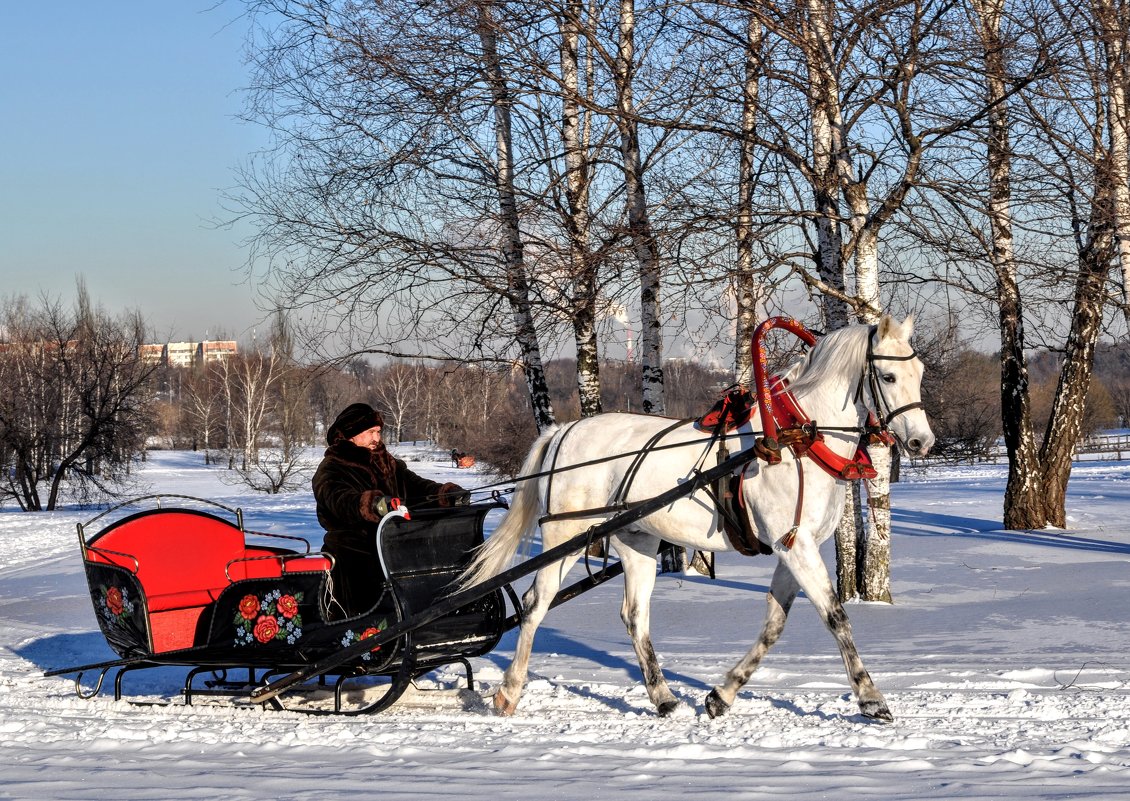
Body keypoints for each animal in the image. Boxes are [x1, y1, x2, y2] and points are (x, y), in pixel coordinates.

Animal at [463, 316, 931, 723]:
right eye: (888, 377)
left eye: (920, 372)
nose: (921, 442)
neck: (797, 439)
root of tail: (563, 429)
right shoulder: (795, 546)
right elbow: (836, 617)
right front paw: (871, 698)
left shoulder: (795, 546)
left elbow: (774, 624)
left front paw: (722, 695)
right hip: (567, 535)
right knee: (534, 604)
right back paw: (509, 691)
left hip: (636, 540)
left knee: (634, 615)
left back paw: (664, 698)